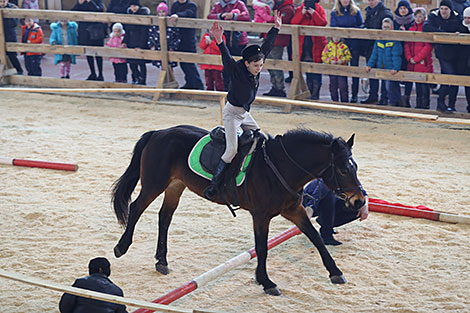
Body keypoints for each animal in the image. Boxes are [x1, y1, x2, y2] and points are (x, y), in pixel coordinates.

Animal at [112, 124, 366, 294]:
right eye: (343, 169)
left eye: (354, 167)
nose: (359, 202)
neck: (279, 167)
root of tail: (159, 133)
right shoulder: (261, 216)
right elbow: (262, 248)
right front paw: (266, 282)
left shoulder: (294, 210)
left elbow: (315, 237)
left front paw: (335, 272)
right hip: (155, 183)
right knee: (136, 208)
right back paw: (121, 247)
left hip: (176, 185)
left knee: (164, 217)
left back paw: (162, 261)